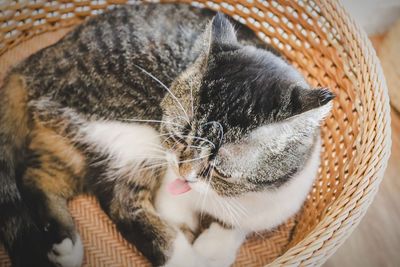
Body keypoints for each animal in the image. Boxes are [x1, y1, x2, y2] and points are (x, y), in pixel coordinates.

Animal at [0, 2, 334, 267]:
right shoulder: (166, 190)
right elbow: (169, 222)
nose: (183, 173)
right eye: (178, 135)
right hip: (133, 137)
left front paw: (217, 244)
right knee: (122, 202)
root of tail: (39, 60)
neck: (213, 200)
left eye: (218, 169)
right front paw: (198, 251)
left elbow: (239, 224)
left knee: (35, 176)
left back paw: (64, 245)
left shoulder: (275, 204)